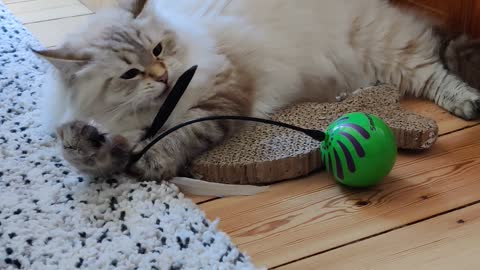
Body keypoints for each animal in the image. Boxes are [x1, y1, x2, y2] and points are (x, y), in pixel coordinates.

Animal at [33, 0, 480, 181]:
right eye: (129, 74)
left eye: (158, 50)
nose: (161, 76)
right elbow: (96, 157)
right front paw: (81, 142)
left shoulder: (221, 94)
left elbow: (179, 134)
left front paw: (153, 162)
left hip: (388, 51)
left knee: (437, 71)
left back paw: (469, 102)